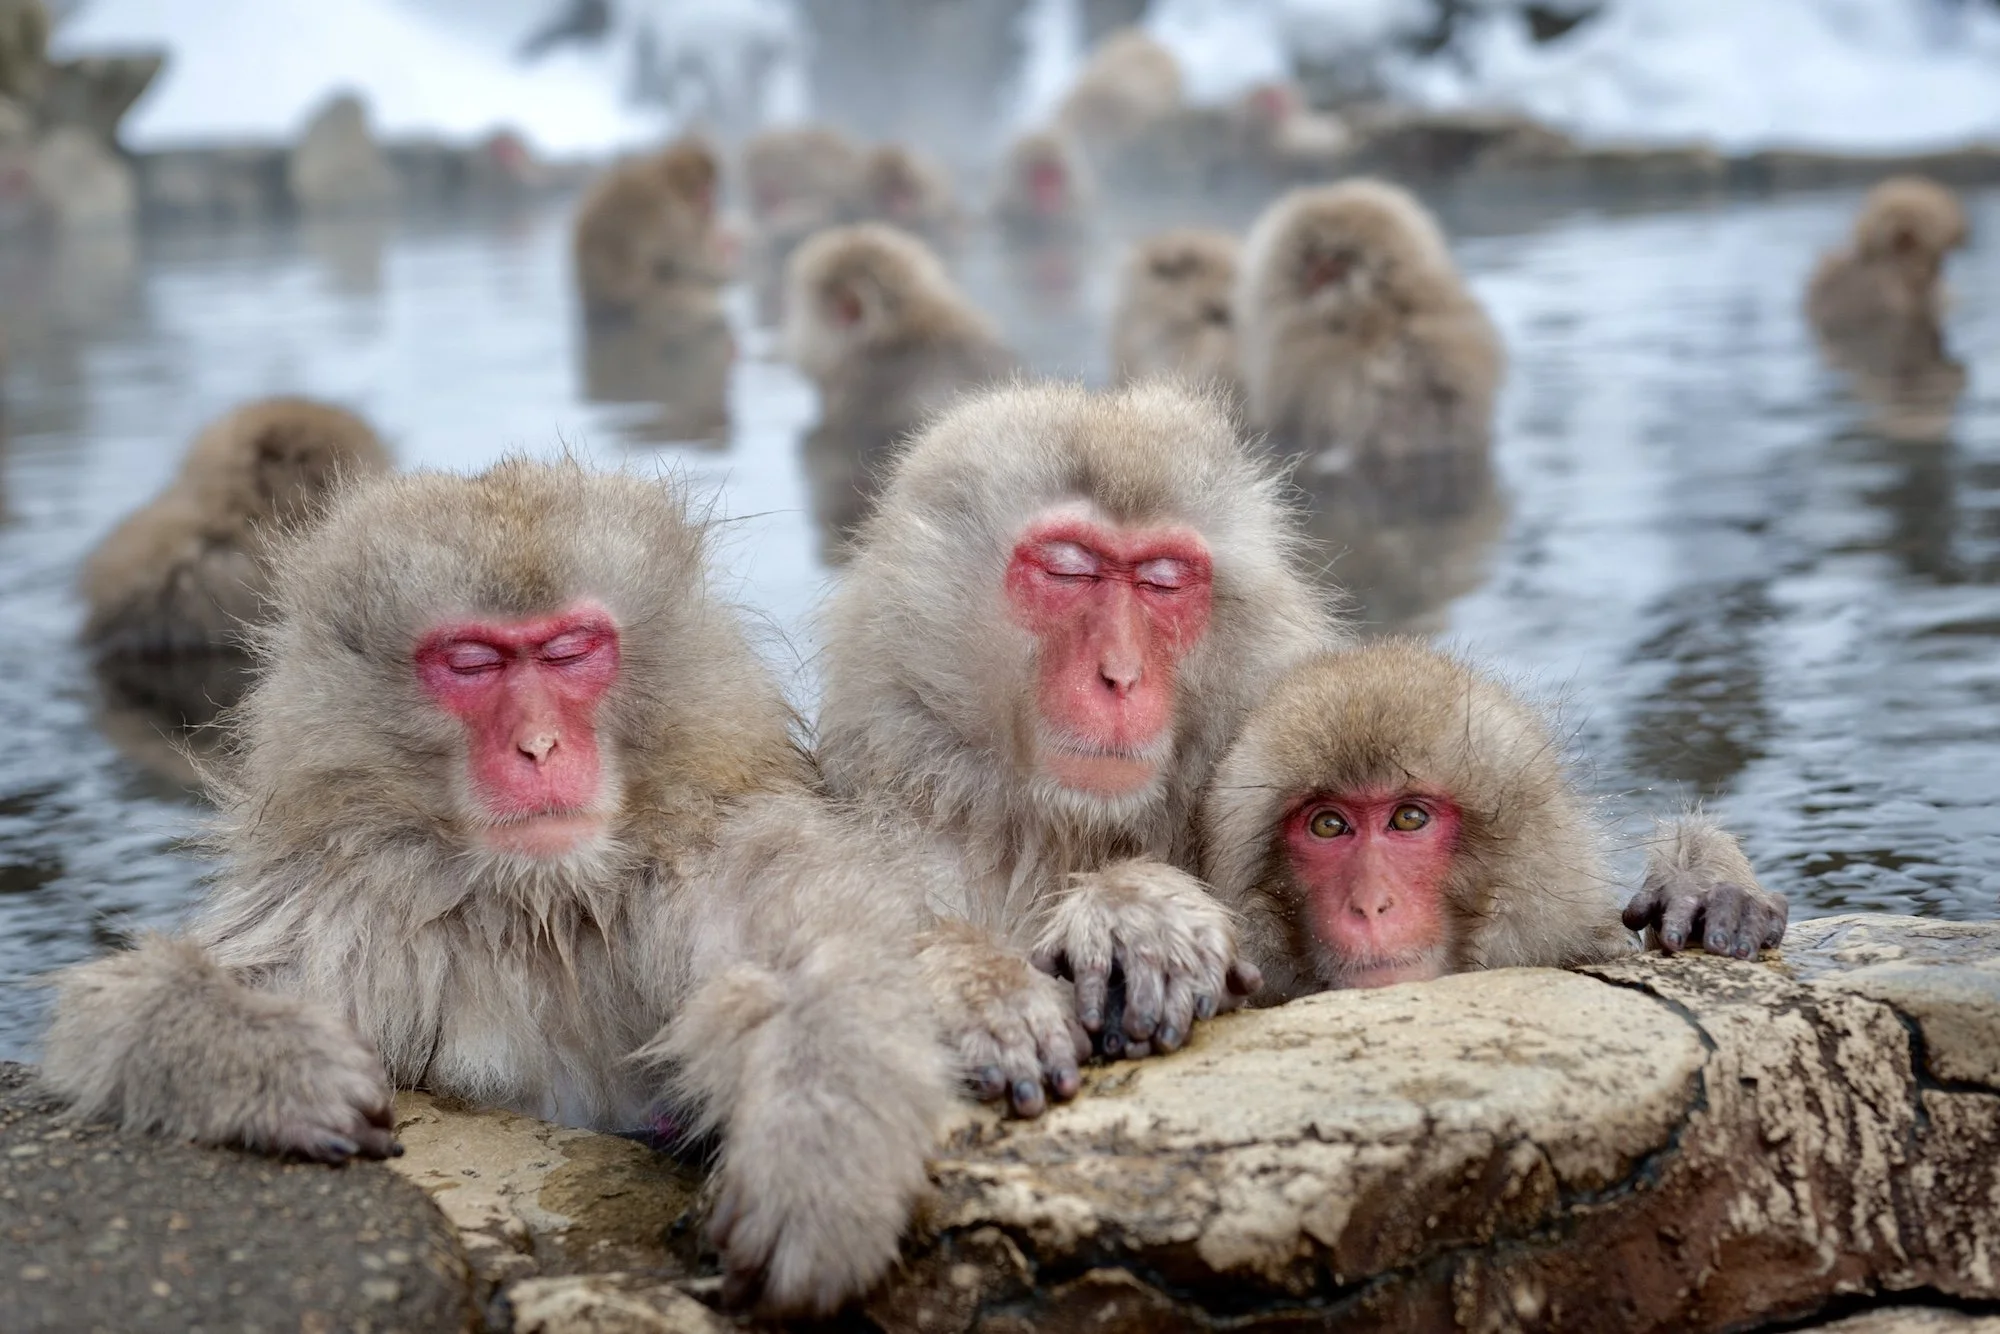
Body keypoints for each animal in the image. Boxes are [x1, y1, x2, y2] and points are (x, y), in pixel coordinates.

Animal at [42, 459, 953, 1317]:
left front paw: (818, 1165)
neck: (543, 903)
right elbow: (118, 1008)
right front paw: (276, 1066)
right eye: (472, 663)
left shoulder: (712, 857)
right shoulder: (346, 903)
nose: (539, 746)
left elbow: (825, 964)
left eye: (570, 650)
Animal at [572, 136, 727, 329]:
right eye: (703, 191)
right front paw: (719, 266)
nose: (711, 205)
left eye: (710, 188)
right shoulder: (675, 220)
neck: (669, 184)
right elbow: (694, 261)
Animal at [817, 379, 1342, 1115]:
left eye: (1162, 580)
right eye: (1068, 571)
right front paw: (980, 986)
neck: (1061, 831)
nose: (1120, 674)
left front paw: (1139, 910)